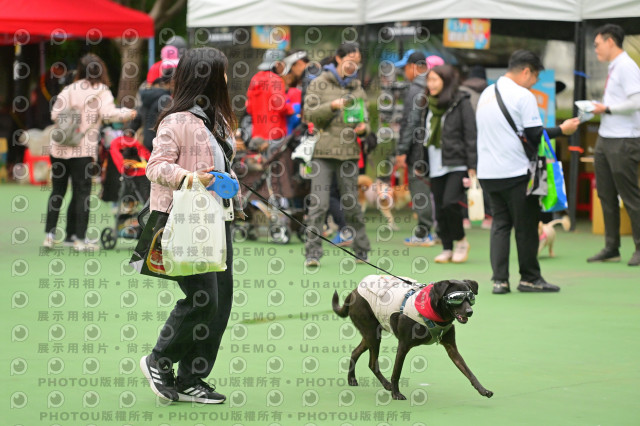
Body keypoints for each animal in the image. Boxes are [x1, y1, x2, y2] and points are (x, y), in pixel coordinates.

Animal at [332, 275, 492, 400]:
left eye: (470, 298)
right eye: (456, 298)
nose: (469, 311)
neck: (435, 313)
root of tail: (353, 293)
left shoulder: (452, 349)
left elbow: (468, 372)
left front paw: (483, 390)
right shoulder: (403, 346)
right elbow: (397, 372)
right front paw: (396, 394)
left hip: (370, 335)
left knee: (355, 352)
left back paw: (352, 379)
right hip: (372, 335)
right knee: (372, 363)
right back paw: (386, 384)